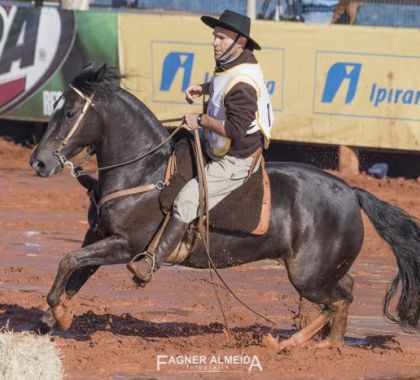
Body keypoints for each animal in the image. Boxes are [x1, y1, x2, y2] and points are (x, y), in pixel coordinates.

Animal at [30, 63, 420, 348]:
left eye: (70, 113)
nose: (39, 162)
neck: (144, 170)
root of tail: (351, 192)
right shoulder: (99, 237)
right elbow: (75, 273)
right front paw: (52, 317)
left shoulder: (126, 246)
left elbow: (69, 262)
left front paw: (59, 314)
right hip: (322, 271)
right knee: (346, 291)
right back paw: (329, 345)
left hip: (307, 276)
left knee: (337, 301)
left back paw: (289, 345)